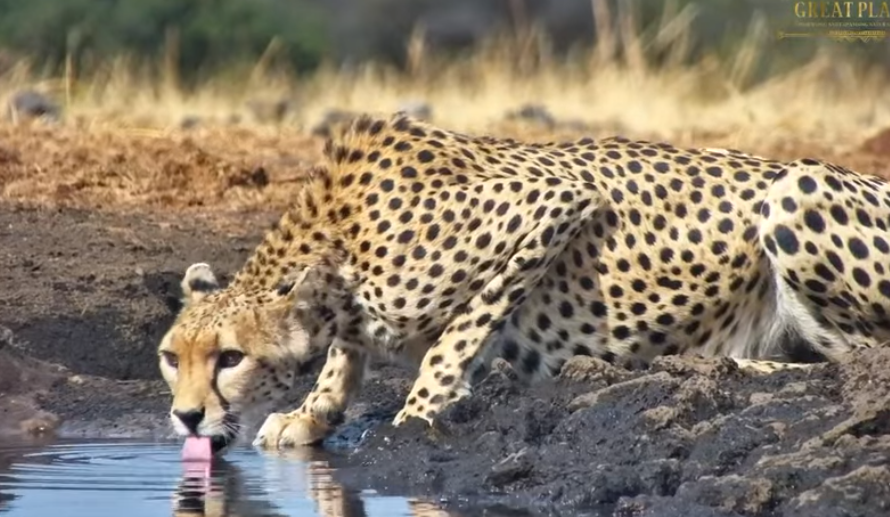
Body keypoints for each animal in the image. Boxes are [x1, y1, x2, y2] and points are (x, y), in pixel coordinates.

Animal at [157, 111, 890, 453]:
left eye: (230, 358)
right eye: (170, 357)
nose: (186, 417)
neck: (337, 233)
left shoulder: (552, 201)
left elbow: (456, 335)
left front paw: (419, 411)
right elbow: (347, 354)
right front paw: (312, 411)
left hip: (794, 188)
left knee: (860, 358)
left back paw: (714, 366)